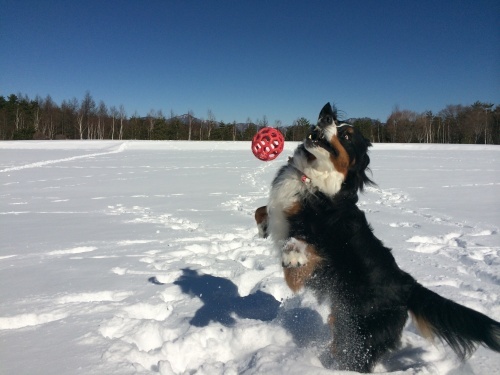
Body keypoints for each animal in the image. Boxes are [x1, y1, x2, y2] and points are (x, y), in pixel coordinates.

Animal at [256, 102, 500, 374]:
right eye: (334, 121)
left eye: (346, 135)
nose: (325, 115)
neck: (315, 182)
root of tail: (408, 285)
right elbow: (262, 210)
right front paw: (263, 226)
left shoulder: (314, 256)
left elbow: (298, 246)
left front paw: (292, 256)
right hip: (344, 323)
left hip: (362, 335)